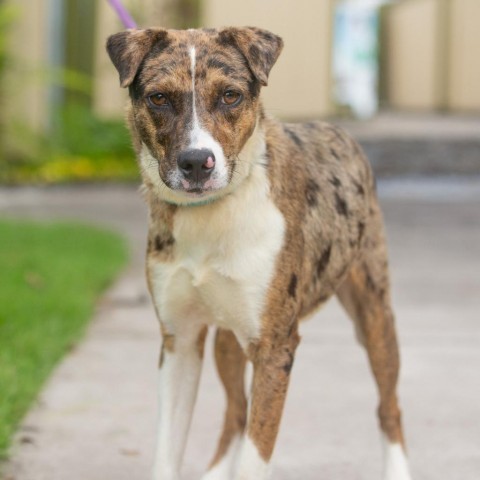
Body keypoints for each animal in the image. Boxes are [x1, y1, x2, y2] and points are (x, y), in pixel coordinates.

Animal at [106, 26, 412, 480]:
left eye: (230, 95)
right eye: (158, 98)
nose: (196, 163)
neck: (212, 214)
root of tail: (338, 129)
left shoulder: (274, 348)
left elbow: (256, 454)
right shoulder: (180, 340)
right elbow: (167, 453)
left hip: (374, 313)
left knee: (388, 406)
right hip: (227, 339)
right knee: (236, 410)